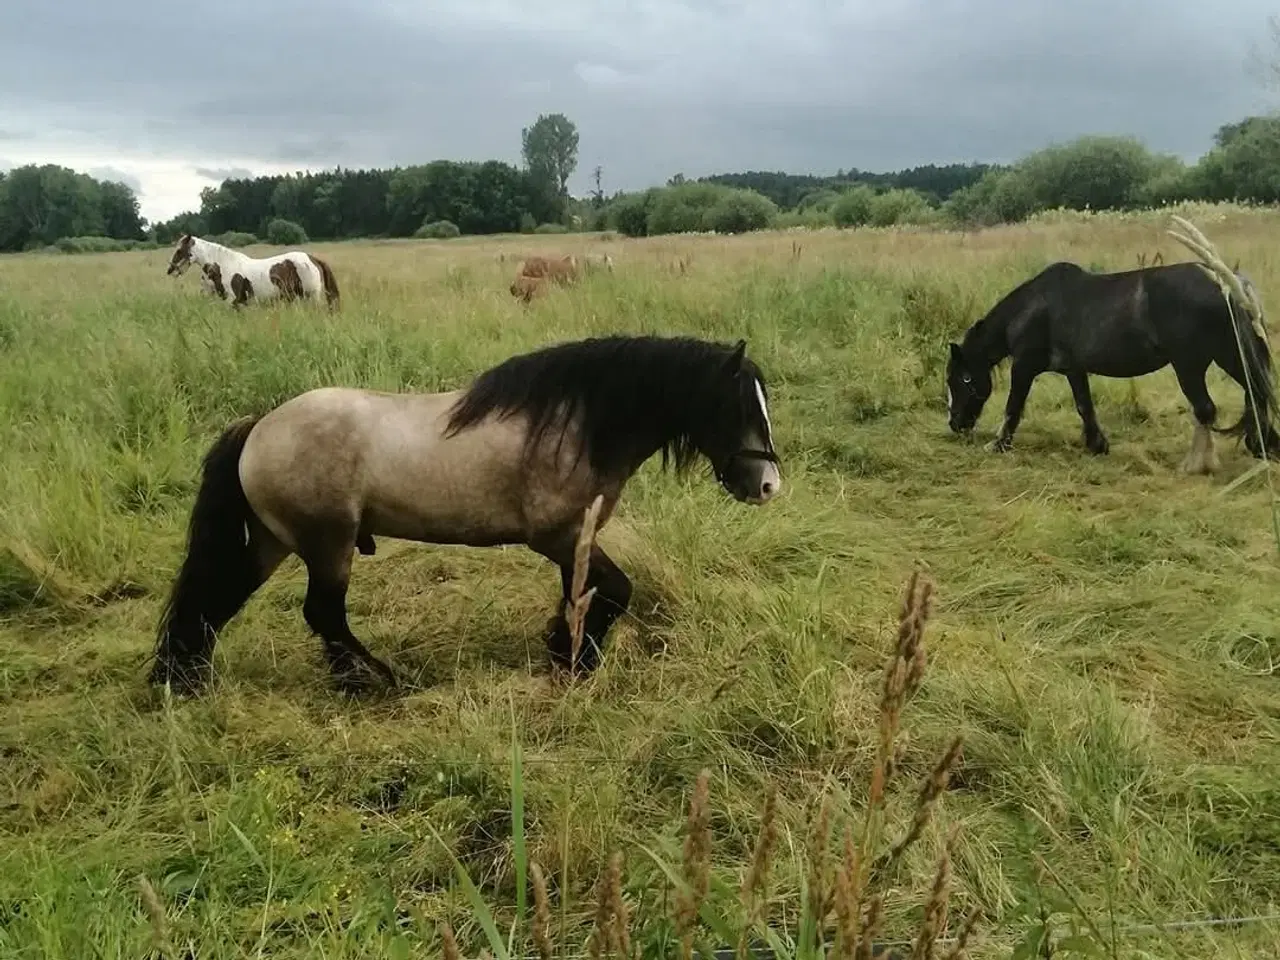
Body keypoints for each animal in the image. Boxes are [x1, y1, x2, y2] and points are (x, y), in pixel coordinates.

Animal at [148, 337, 778, 701]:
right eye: (735, 407)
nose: (768, 484)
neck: (575, 425)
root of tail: (259, 426)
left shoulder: (574, 542)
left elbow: (578, 597)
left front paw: (563, 653)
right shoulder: (557, 536)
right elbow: (616, 591)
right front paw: (577, 662)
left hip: (271, 543)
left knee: (216, 599)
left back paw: (186, 680)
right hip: (328, 544)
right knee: (321, 613)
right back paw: (375, 681)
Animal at [168, 232, 340, 308]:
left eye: (179, 250)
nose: (170, 270)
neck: (224, 266)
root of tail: (312, 258)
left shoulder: (233, 302)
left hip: (311, 297)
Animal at [947, 261, 1274, 476]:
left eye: (964, 379)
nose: (955, 424)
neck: (1032, 308)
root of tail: (1229, 283)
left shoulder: (1024, 367)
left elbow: (1013, 407)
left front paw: (998, 444)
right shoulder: (1074, 369)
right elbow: (1084, 406)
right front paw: (1097, 445)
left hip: (1190, 365)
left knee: (1206, 409)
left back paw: (1196, 465)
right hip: (1230, 356)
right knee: (1256, 393)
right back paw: (1263, 445)